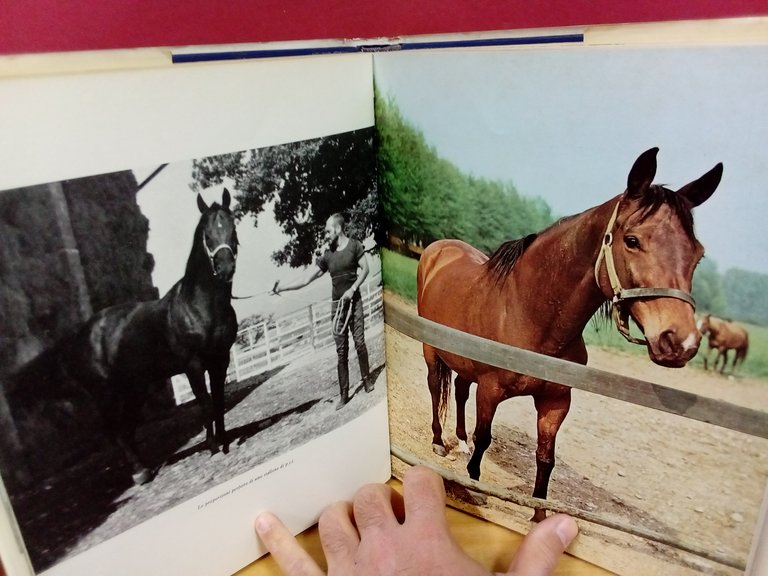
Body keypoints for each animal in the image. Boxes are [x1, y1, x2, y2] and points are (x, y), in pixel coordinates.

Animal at [6, 189, 238, 485]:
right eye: (207, 235)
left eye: (232, 229)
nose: (225, 268)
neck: (199, 306)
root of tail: (78, 337)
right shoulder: (193, 365)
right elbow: (205, 403)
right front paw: (213, 446)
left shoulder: (220, 359)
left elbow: (219, 401)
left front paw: (224, 439)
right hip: (106, 394)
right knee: (114, 430)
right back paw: (139, 472)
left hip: (132, 389)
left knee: (127, 428)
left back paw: (147, 467)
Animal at [416, 148, 722, 521]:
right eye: (632, 241)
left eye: (697, 254)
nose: (681, 342)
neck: (529, 315)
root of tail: (438, 249)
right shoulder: (490, 391)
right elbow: (485, 438)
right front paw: (474, 487)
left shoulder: (556, 402)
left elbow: (545, 459)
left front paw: (539, 516)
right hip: (431, 350)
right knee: (436, 388)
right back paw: (438, 441)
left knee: (459, 391)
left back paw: (459, 441)